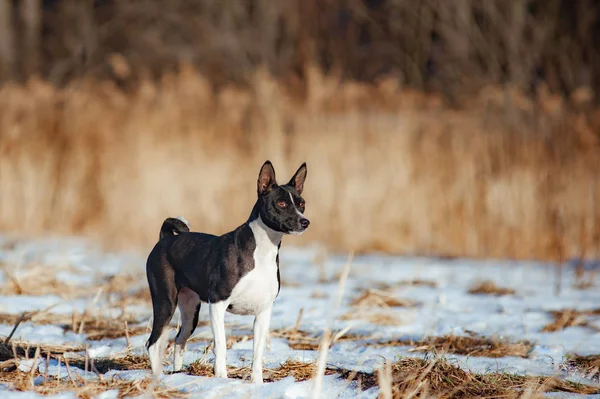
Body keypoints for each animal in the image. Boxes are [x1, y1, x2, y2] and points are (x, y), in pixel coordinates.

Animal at [143, 162, 308, 384]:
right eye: (281, 203)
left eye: (302, 203)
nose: (304, 221)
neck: (262, 251)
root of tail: (165, 239)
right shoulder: (217, 304)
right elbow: (220, 345)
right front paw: (221, 376)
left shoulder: (263, 312)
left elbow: (258, 352)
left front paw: (257, 383)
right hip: (165, 303)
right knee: (152, 343)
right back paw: (157, 379)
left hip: (190, 311)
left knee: (179, 340)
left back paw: (177, 373)